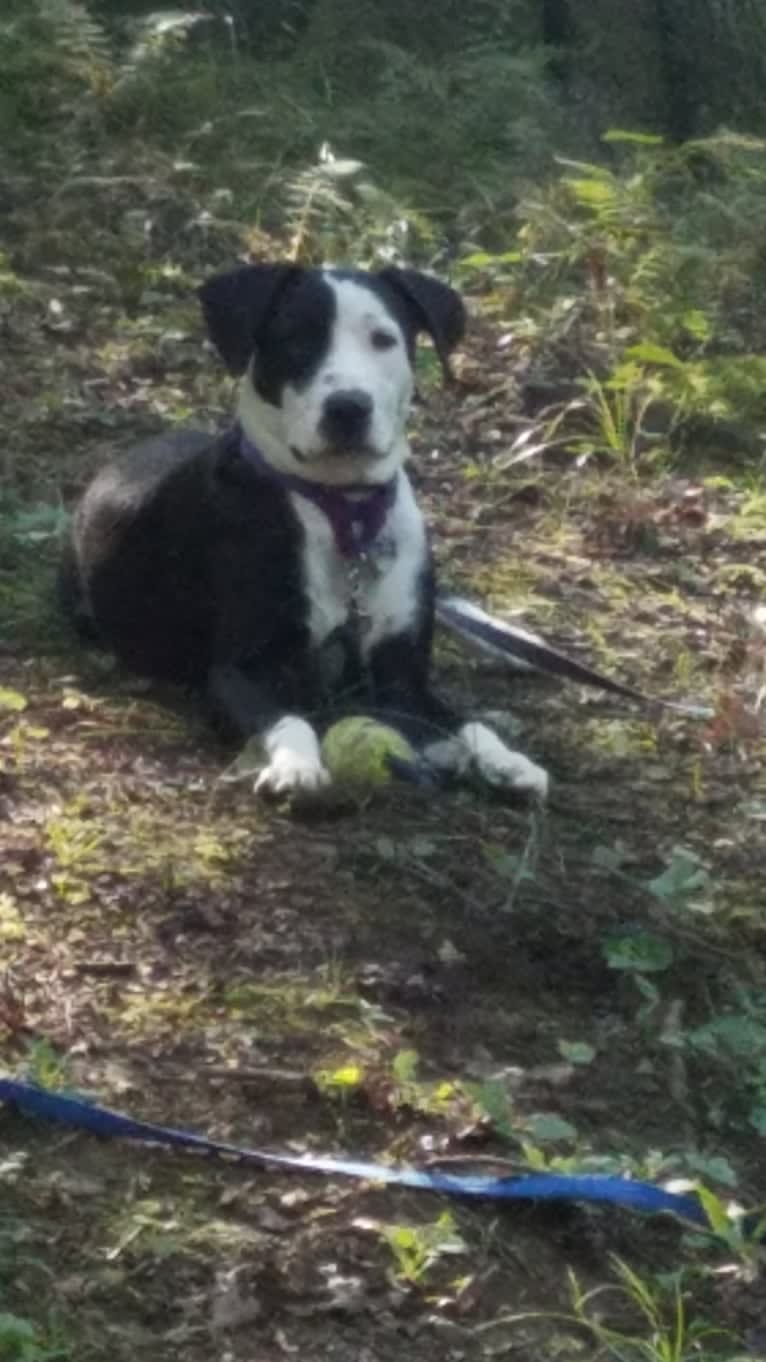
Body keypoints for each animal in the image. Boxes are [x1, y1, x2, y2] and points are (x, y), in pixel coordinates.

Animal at [62, 262, 545, 795]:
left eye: (383, 339)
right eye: (296, 339)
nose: (348, 407)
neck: (345, 511)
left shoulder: (401, 677)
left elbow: (468, 721)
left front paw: (507, 759)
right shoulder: (241, 669)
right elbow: (286, 716)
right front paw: (296, 764)